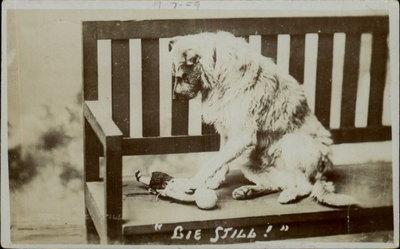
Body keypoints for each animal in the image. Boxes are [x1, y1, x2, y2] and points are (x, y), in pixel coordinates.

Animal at [168, 31, 356, 206]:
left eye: (181, 77)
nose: (174, 98)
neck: (219, 70)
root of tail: (323, 173)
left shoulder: (242, 136)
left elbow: (213, 162)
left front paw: (192, 182)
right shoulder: (229, 133)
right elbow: (220, 159)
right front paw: (215, 180)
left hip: (291, 143)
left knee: (304, 186)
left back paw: (289, 195)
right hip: (247, 159)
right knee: (279, 184)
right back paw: (248, 191)